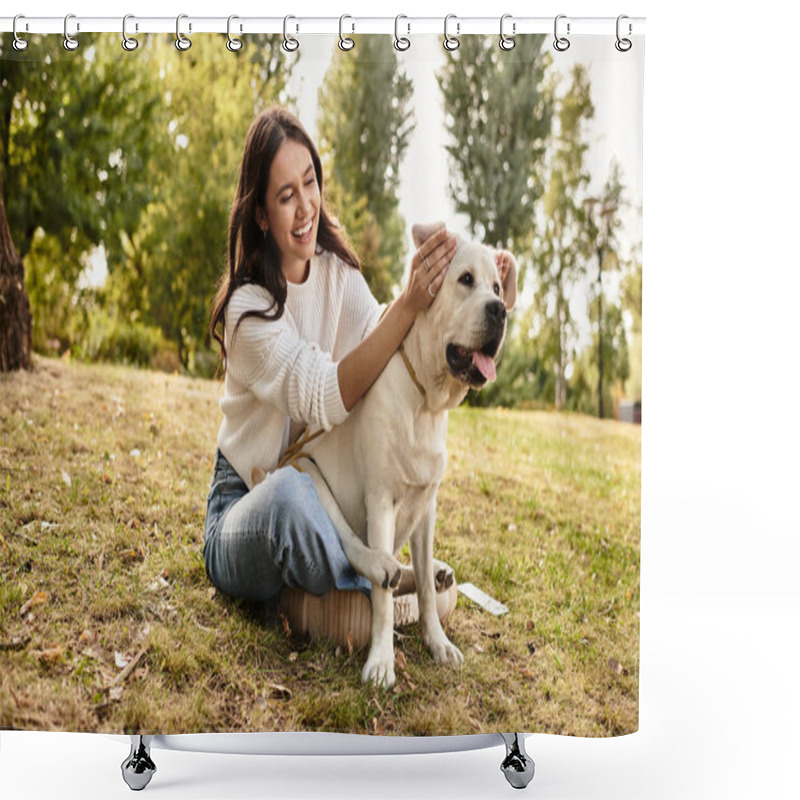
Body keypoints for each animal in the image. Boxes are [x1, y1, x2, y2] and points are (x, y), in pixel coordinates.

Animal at [296, 225, 516, 688]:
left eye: (497, 287)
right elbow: (381, 602)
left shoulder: (427, 506)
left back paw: (434, 571)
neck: (426, 402)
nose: (500, 310)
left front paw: (438, 643)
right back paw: (379, 565)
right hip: (305, 467)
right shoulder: (381, 499)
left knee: (418, 572)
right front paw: (381, 661)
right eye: (465, 279)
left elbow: (429, 593)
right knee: (354, 550)